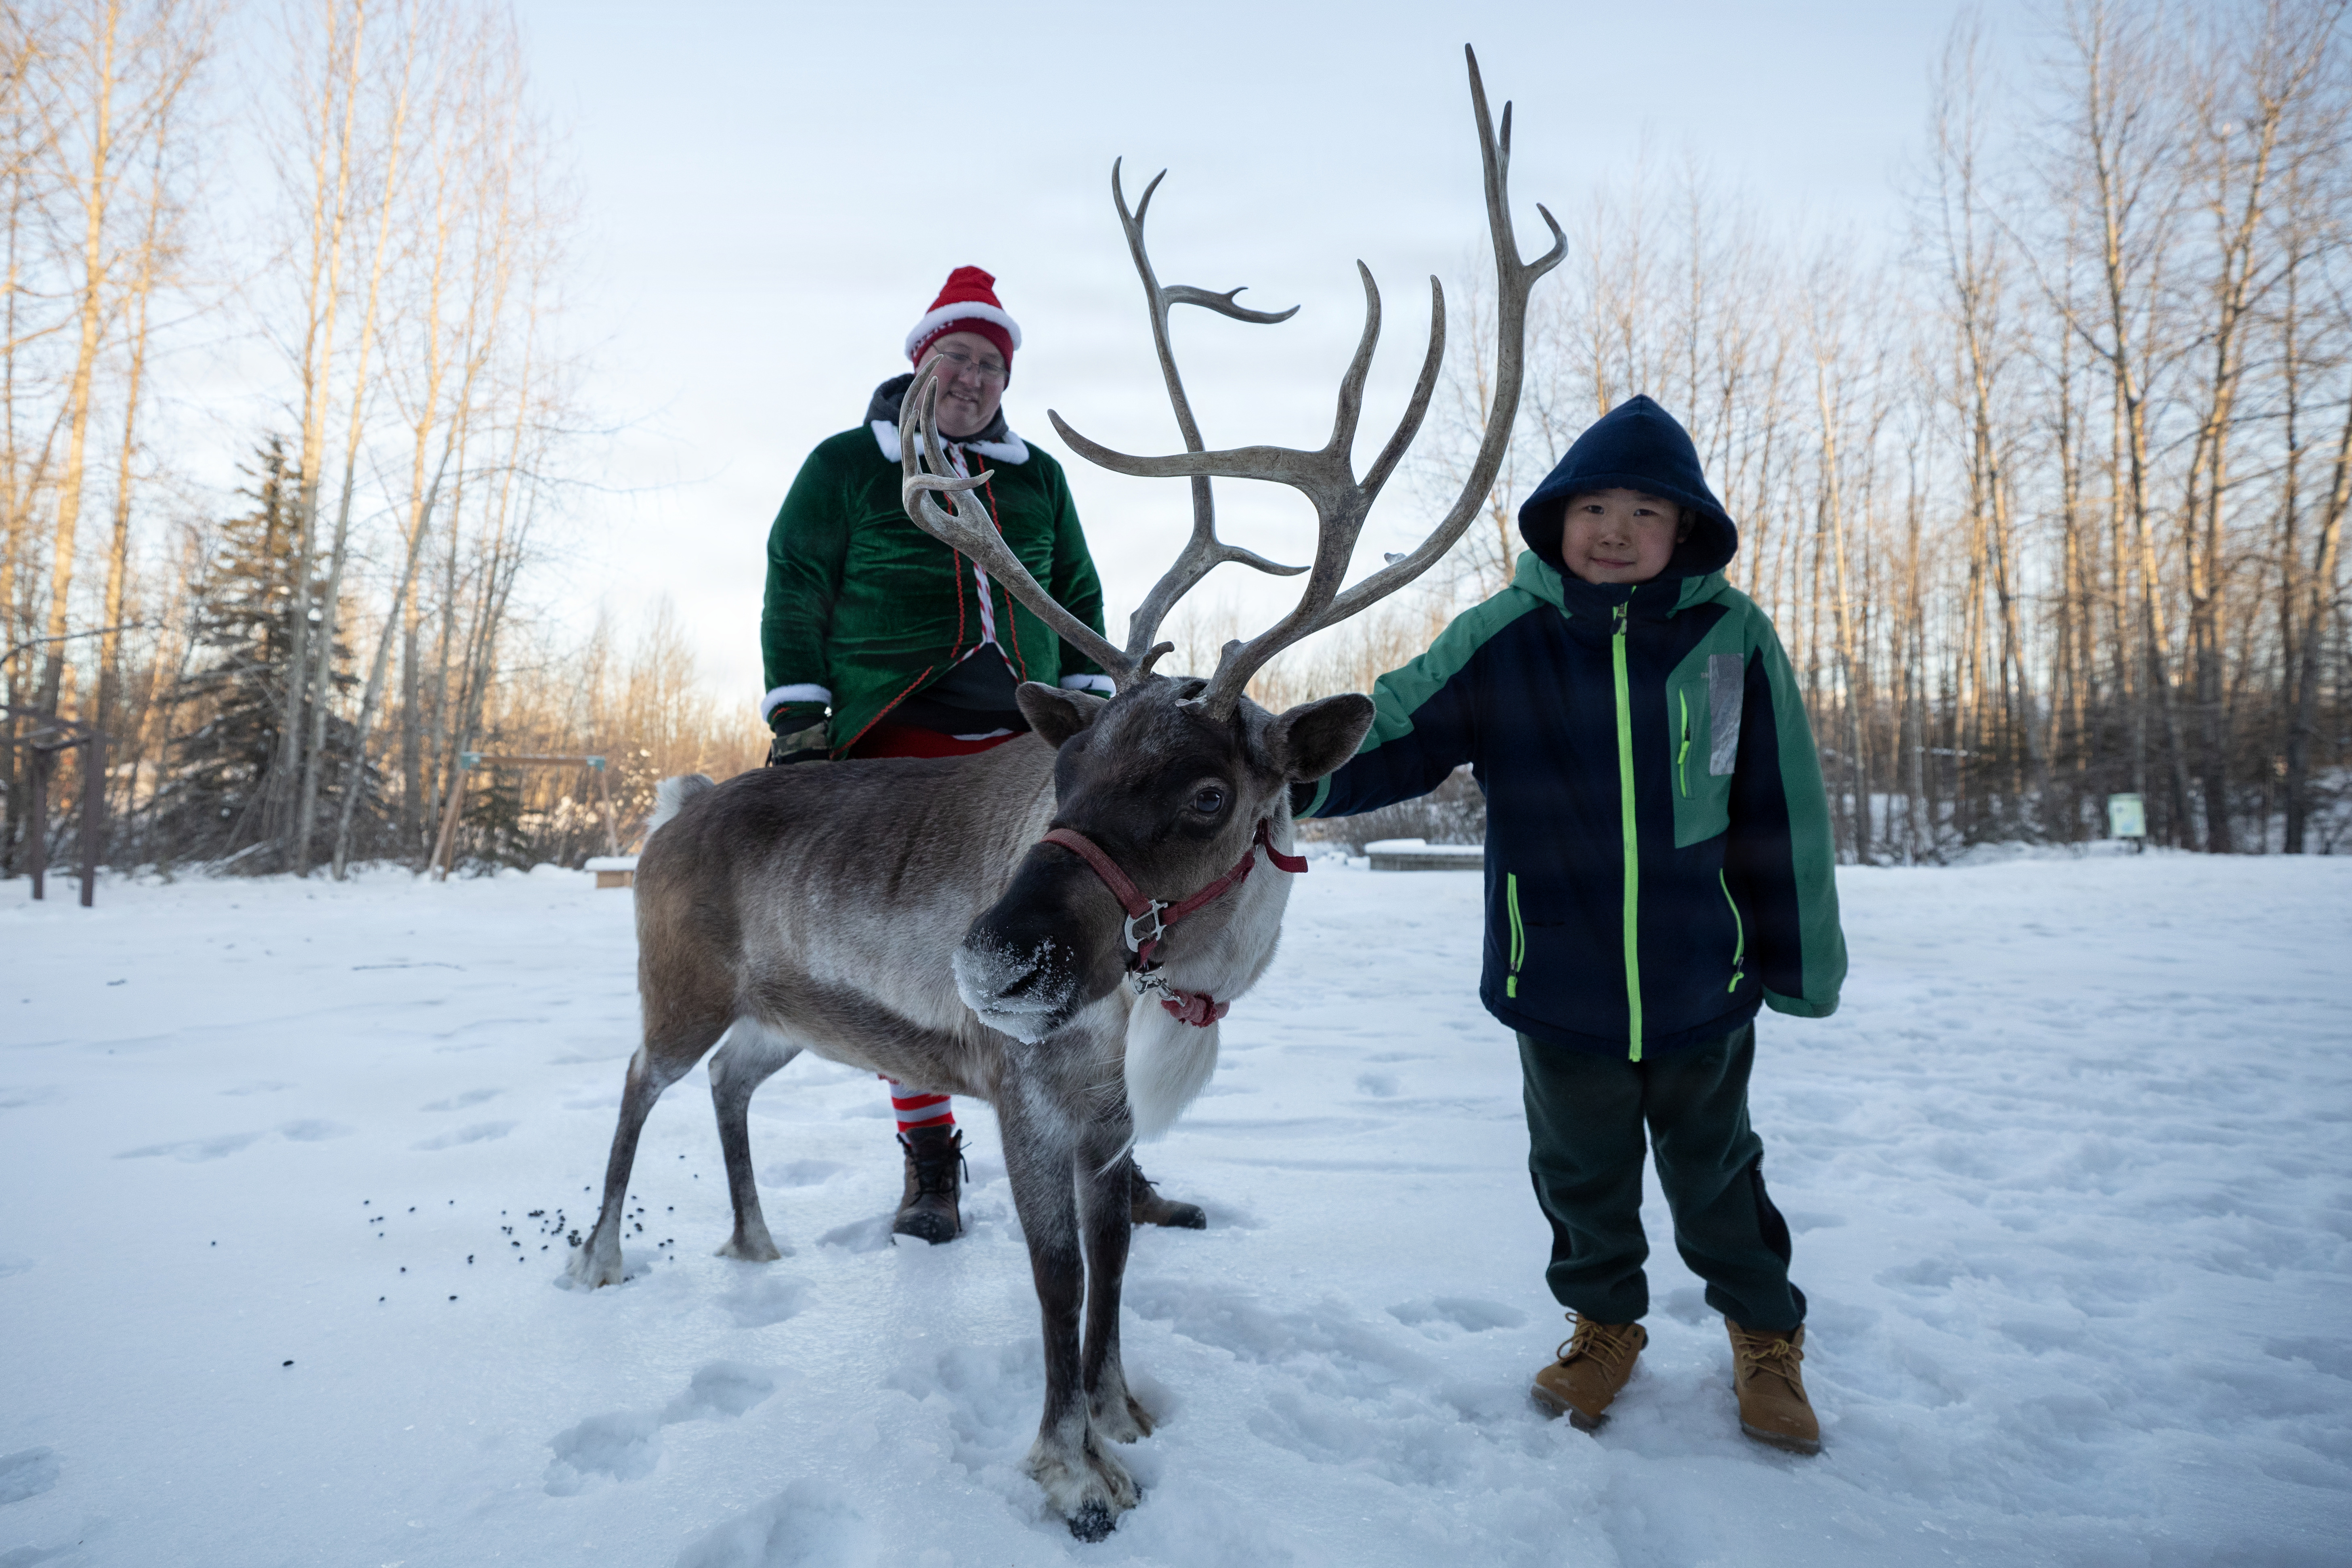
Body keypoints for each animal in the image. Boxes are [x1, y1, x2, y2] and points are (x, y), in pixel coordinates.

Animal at [565, 46, 1562, 1540]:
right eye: (1067, 775)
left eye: (1209, 792)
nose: (994, 959)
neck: (1171, 994)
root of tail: (675, 804)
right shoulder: (1028, 1094)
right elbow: (1052, 1280)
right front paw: (1071, 1470)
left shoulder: (1110, 1126)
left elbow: (1111, 1276)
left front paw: (1121, 1411)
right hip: (679, 983)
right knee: (638, 1081)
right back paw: (599, 1258)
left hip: (786, 1016)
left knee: (732, 1087)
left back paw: (752, 1236)